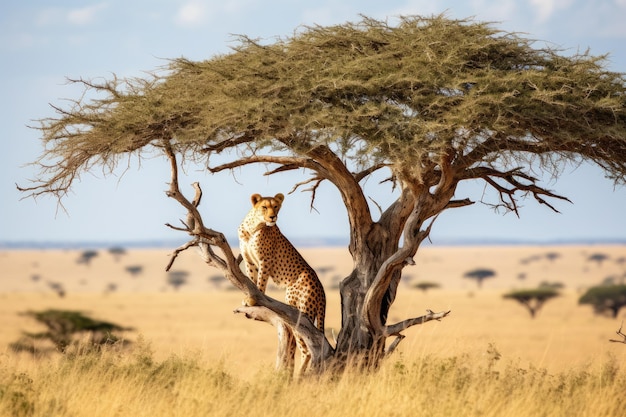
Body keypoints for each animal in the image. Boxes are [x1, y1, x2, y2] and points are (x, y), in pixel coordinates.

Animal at [238, 192, 326, 370]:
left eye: (276, 206)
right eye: (265, 206)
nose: (273, 216)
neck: (253, 226)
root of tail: (321, 288)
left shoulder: (266, 260)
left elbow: (260, 282)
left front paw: (255, 299)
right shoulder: (249, 260)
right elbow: (251, 279)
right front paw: (248, 297)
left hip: (302, 312)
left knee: (307, 349)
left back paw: (300, 374)